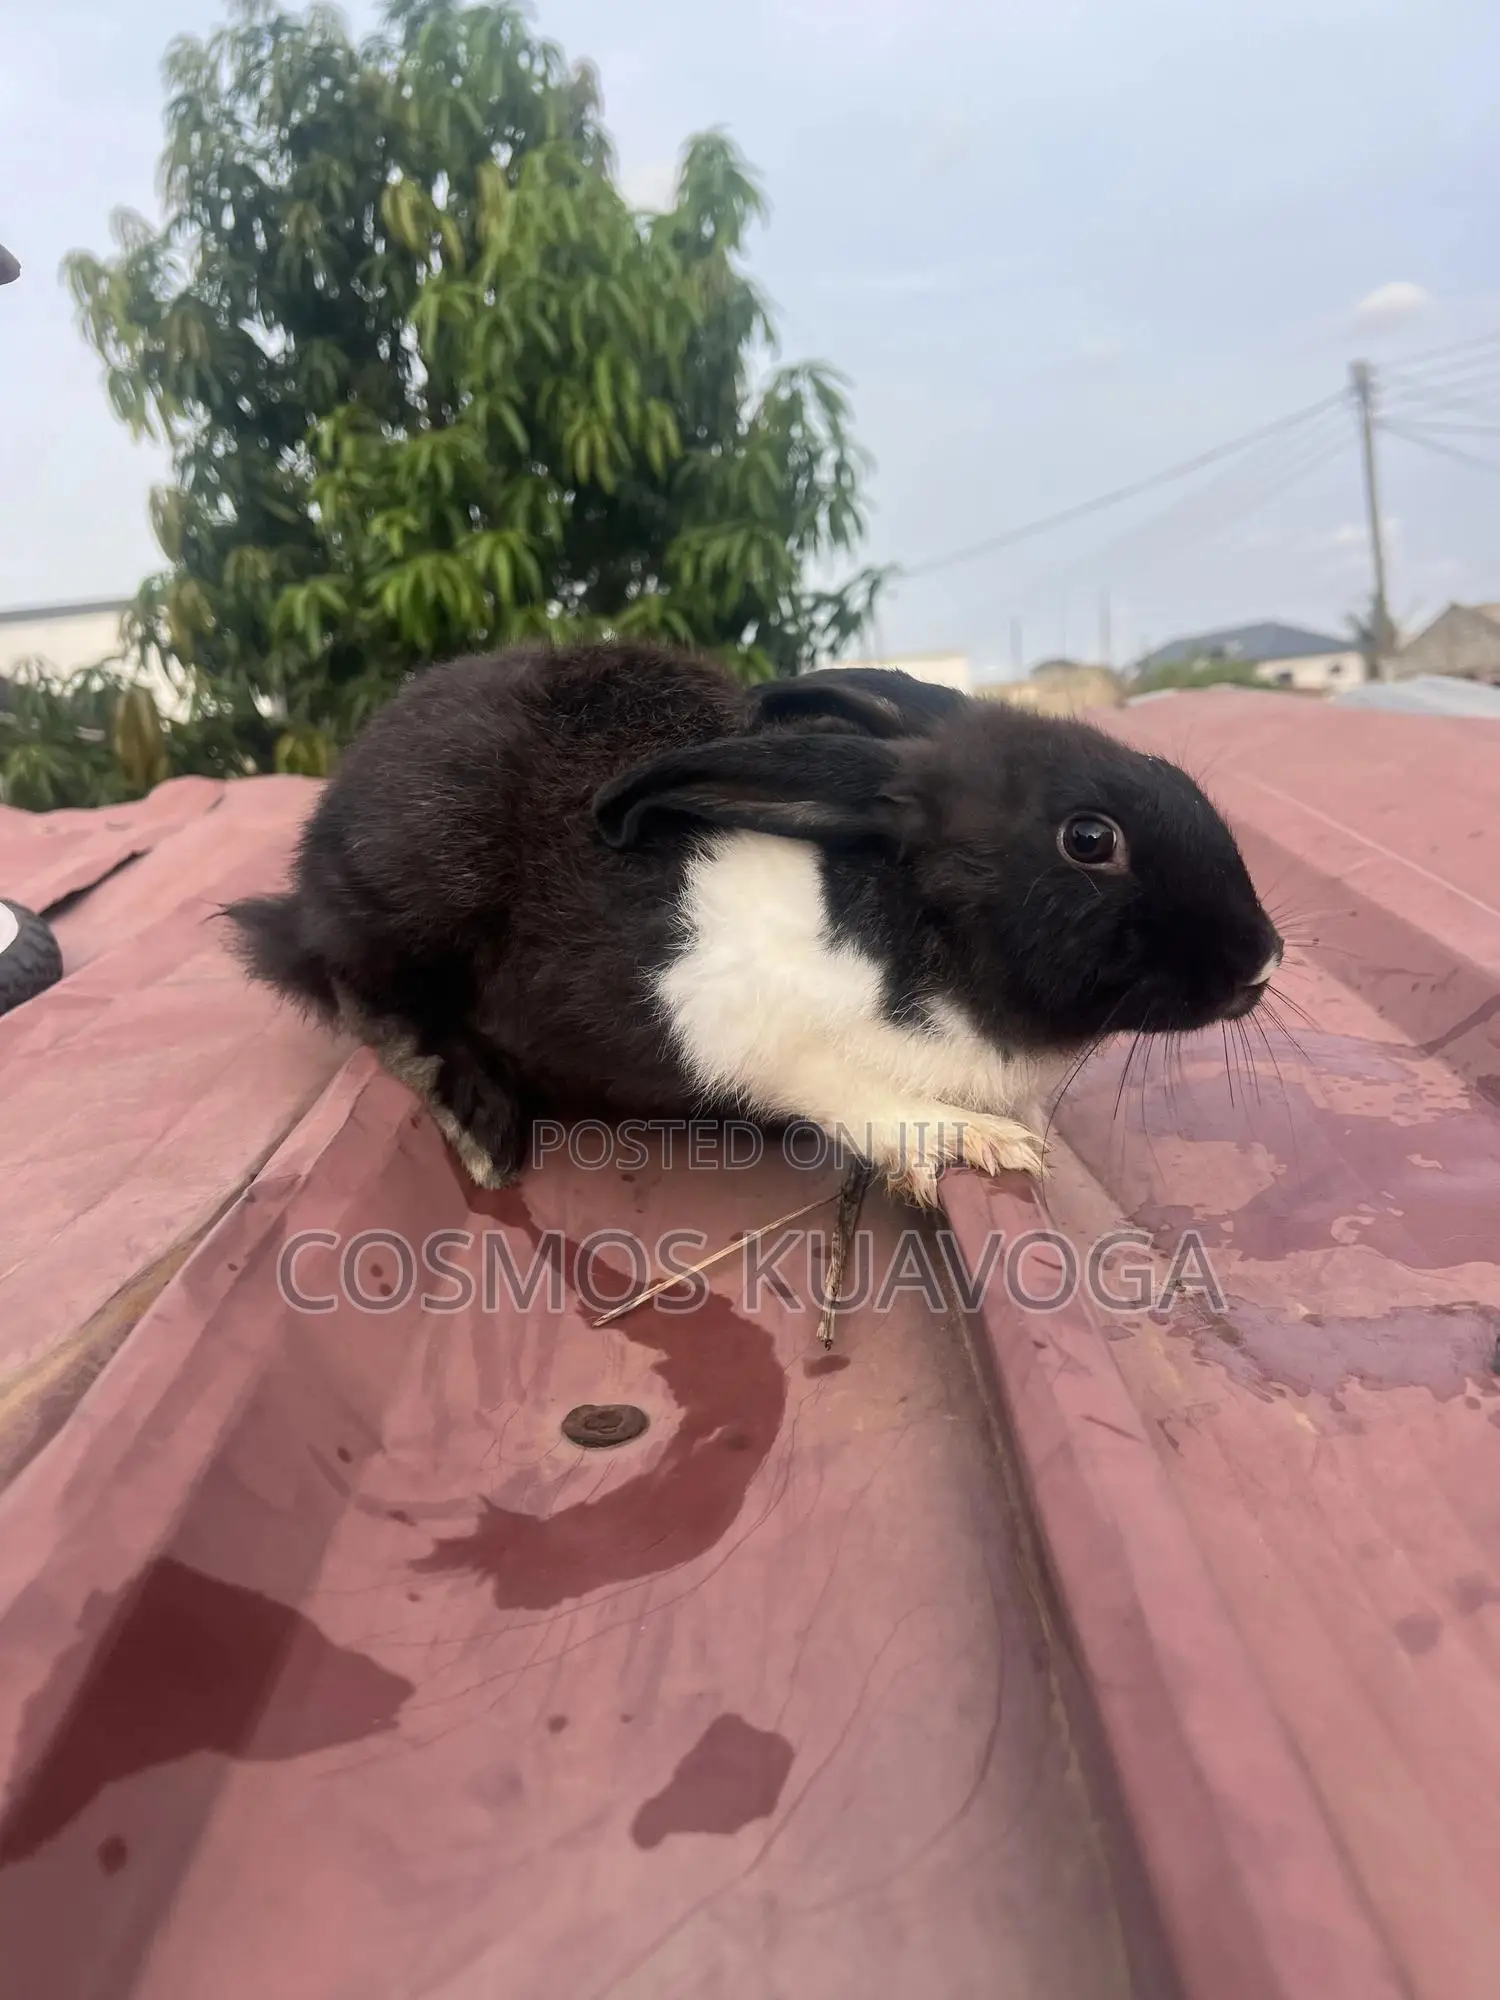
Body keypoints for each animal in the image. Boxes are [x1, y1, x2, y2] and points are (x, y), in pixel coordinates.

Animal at [226, 640, 1281, 1204]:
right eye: (1089, 838)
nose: (1263, 961)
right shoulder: (777, 1042)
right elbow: (869, 1105)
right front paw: (979, 1143)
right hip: (418, 877)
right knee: (362, 987)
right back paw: (479, 1117)